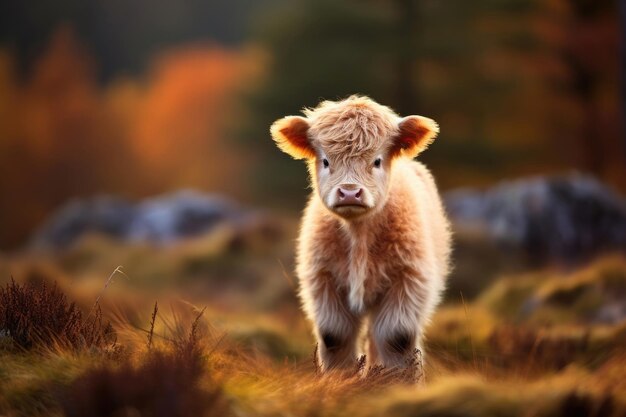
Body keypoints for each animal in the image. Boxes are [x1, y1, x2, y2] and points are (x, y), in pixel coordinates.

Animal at [268, 95, 448, 374]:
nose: (350, 192)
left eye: (377, 160)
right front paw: (341, 380)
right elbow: (334, 337)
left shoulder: (410, 278)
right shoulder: (323, 279)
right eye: (325, 161)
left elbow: (397, 338)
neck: (358, 235)